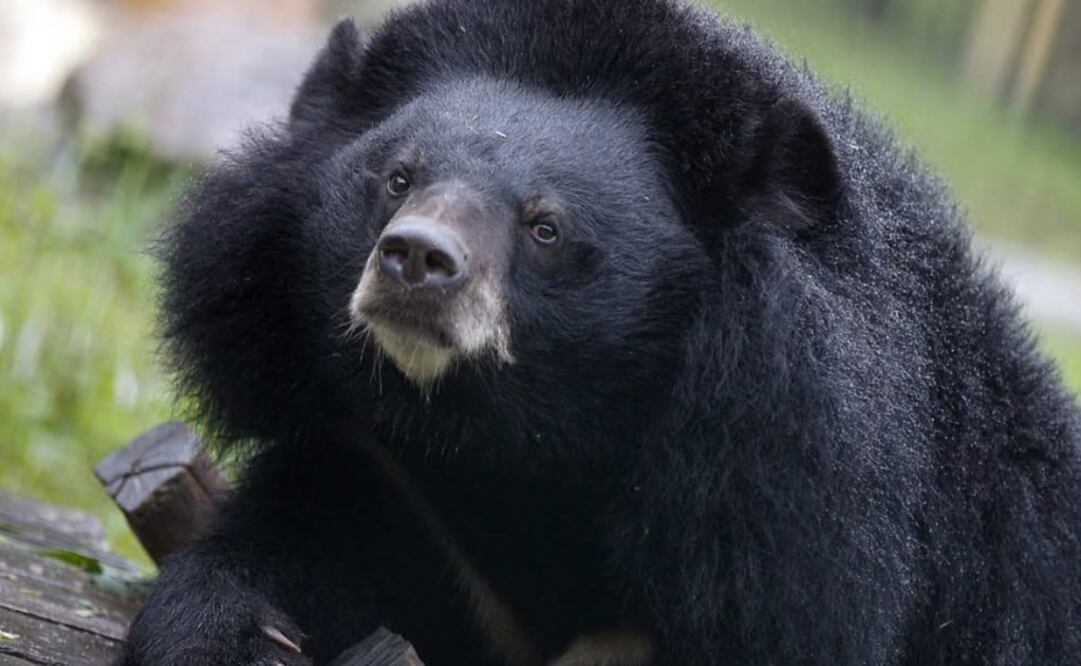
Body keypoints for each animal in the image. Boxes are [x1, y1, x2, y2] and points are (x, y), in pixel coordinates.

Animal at [119, 0, 1081, 664]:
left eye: (545, 226)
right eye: (396, 177)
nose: (416, 260)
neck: (524, 451)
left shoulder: (780, 521)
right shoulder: (398, 482)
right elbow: (289, 542)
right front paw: (241, 635)